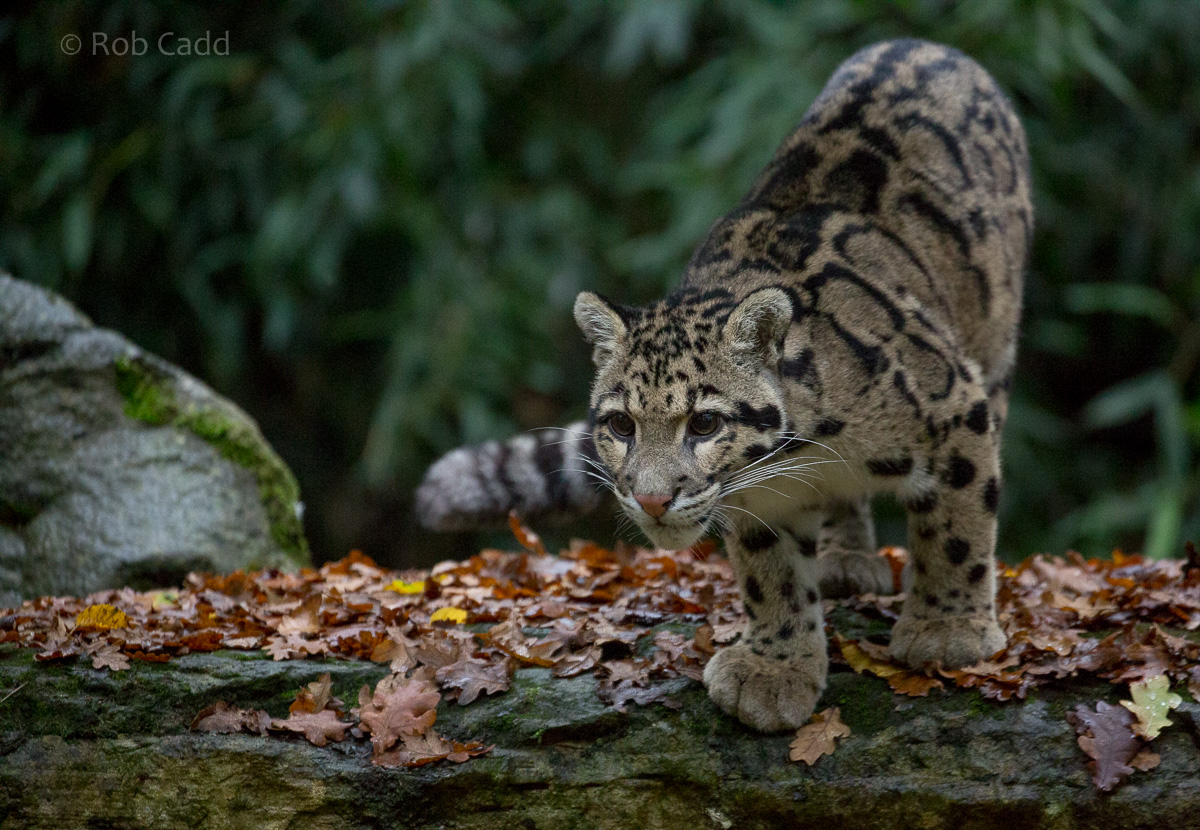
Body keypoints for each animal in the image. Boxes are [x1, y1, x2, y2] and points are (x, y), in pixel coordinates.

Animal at [416, 39, 1032, 732]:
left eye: (705, 423)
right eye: (622, 425)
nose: (652, 500)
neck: (812, 447)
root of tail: (925, 45)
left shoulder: (956, 405)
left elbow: (956, 525)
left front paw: (948, 630)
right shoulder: (760, 498)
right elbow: (773, 575)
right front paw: (775, 668)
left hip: (996, 341)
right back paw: (845, 558)